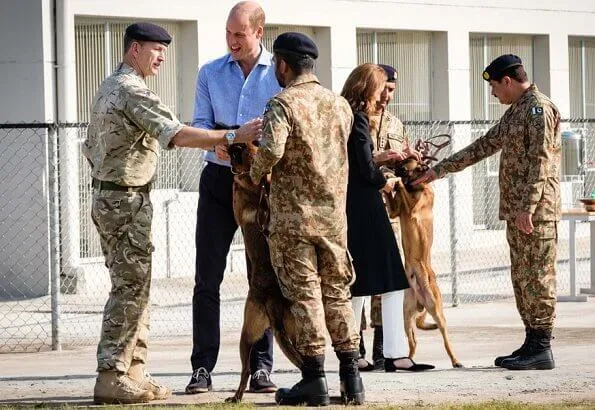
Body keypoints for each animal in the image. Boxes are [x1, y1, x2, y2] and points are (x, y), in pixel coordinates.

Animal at [226, 143, 304, 402]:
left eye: (236, 148)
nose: (228, 141)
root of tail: (272, 301)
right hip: (273, 332)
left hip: (255, 334)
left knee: (246, 369)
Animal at [384, 159, 464, 368]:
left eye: (404, 164)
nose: (388, 165)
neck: (416, 186)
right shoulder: (394, 211)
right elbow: (394, 199)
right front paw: (389, 182)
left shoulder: (412, 208)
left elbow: (402, 187)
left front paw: (395, 181)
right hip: (406, 315)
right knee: (414, 341)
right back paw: (409, 361)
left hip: (436, 311)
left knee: (445, 339)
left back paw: (455, 360)